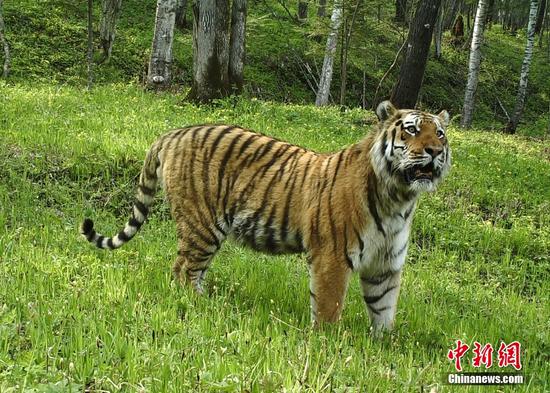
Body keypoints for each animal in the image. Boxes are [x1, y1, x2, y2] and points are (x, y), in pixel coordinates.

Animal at [82, 99, 452, 332]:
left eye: (440, 133)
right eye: (411, 130)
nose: (435, 152)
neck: (399, 199)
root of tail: (173, 132)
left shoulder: (385, 265)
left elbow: (383, 309)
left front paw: (383, 345)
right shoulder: (332, 257)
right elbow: (329, 306)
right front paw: (327, 342)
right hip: (203, 226)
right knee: (183, 270)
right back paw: (203, 306)